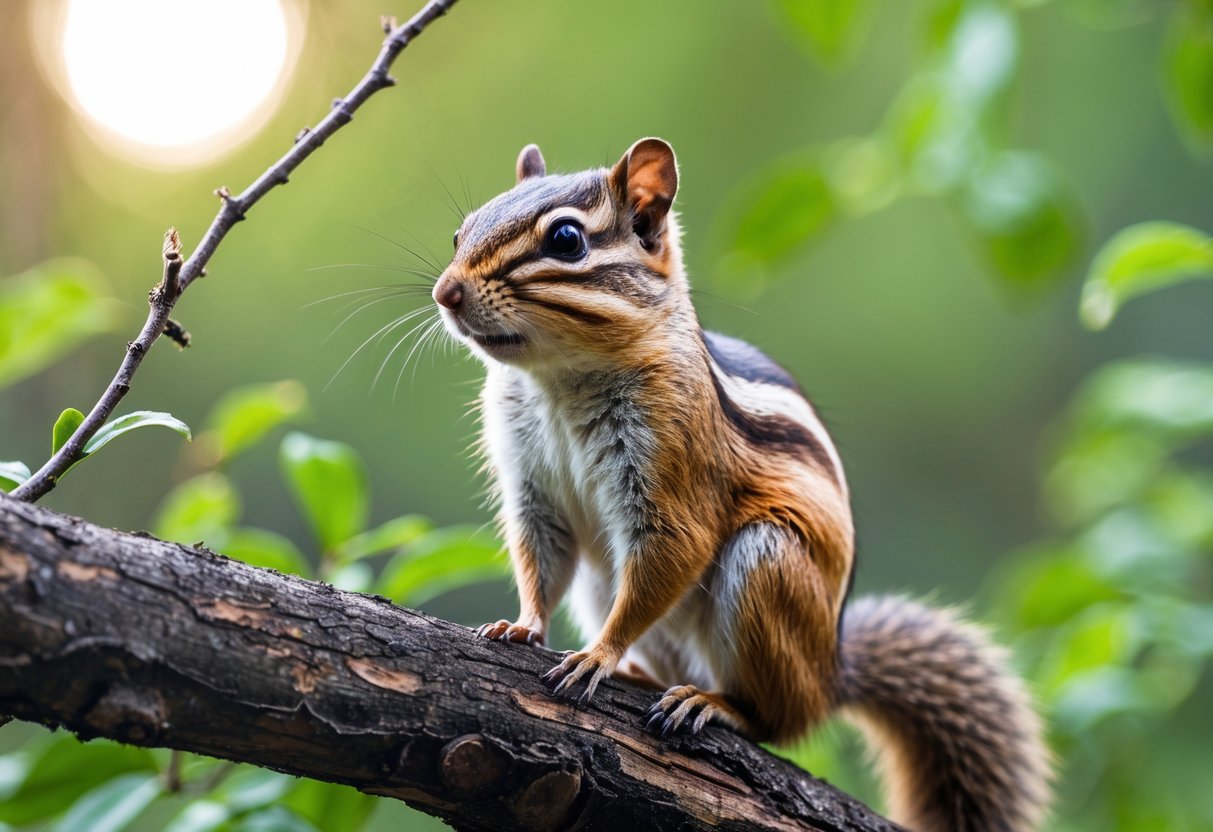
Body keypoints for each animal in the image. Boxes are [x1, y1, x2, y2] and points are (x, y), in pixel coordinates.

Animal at [431, 138, 1050, 832]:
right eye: (460, 230)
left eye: (566, 239)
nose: (445, 292)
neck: (557, 379)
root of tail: (831, 675)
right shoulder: (532, 487)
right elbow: (539, 557)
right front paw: (522, 626)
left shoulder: (675, 471)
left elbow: (673, 553)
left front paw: (598, 655)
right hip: (605, 582)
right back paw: (646, 678)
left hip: (767, 565)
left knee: (777, 720)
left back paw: (710, 702)